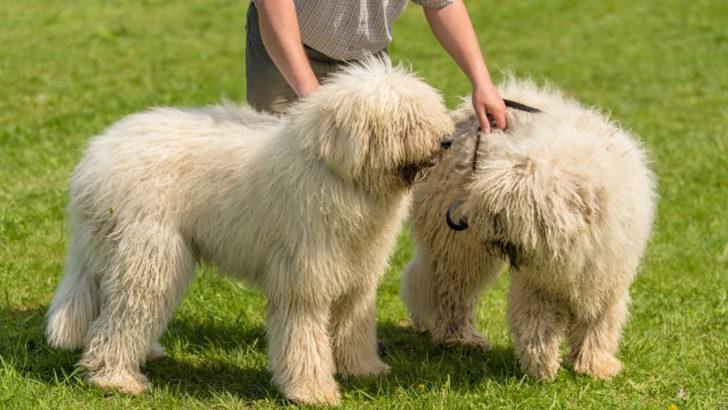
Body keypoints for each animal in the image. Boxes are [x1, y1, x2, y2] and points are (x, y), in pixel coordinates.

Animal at [44, 58, 456, 406]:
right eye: (406, 120)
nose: (447, 141)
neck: (336, 172)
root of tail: (95, 158)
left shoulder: (357, 273)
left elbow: (354, 325)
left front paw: (364, 369)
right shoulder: (304, 277)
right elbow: (304, 336)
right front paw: (312, 392)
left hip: (116, 253)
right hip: (148, 255)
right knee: (122, 316)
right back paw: (116, 379)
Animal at [400, 79, 656, 382]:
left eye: (523, 213)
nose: (492, 233)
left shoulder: (602, 277)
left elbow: (597, 324)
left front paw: (594, 365)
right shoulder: (537, 284)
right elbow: (537, 324)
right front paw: (542, 367)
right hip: (458, 246)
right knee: (452, 290)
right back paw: (460, 338)